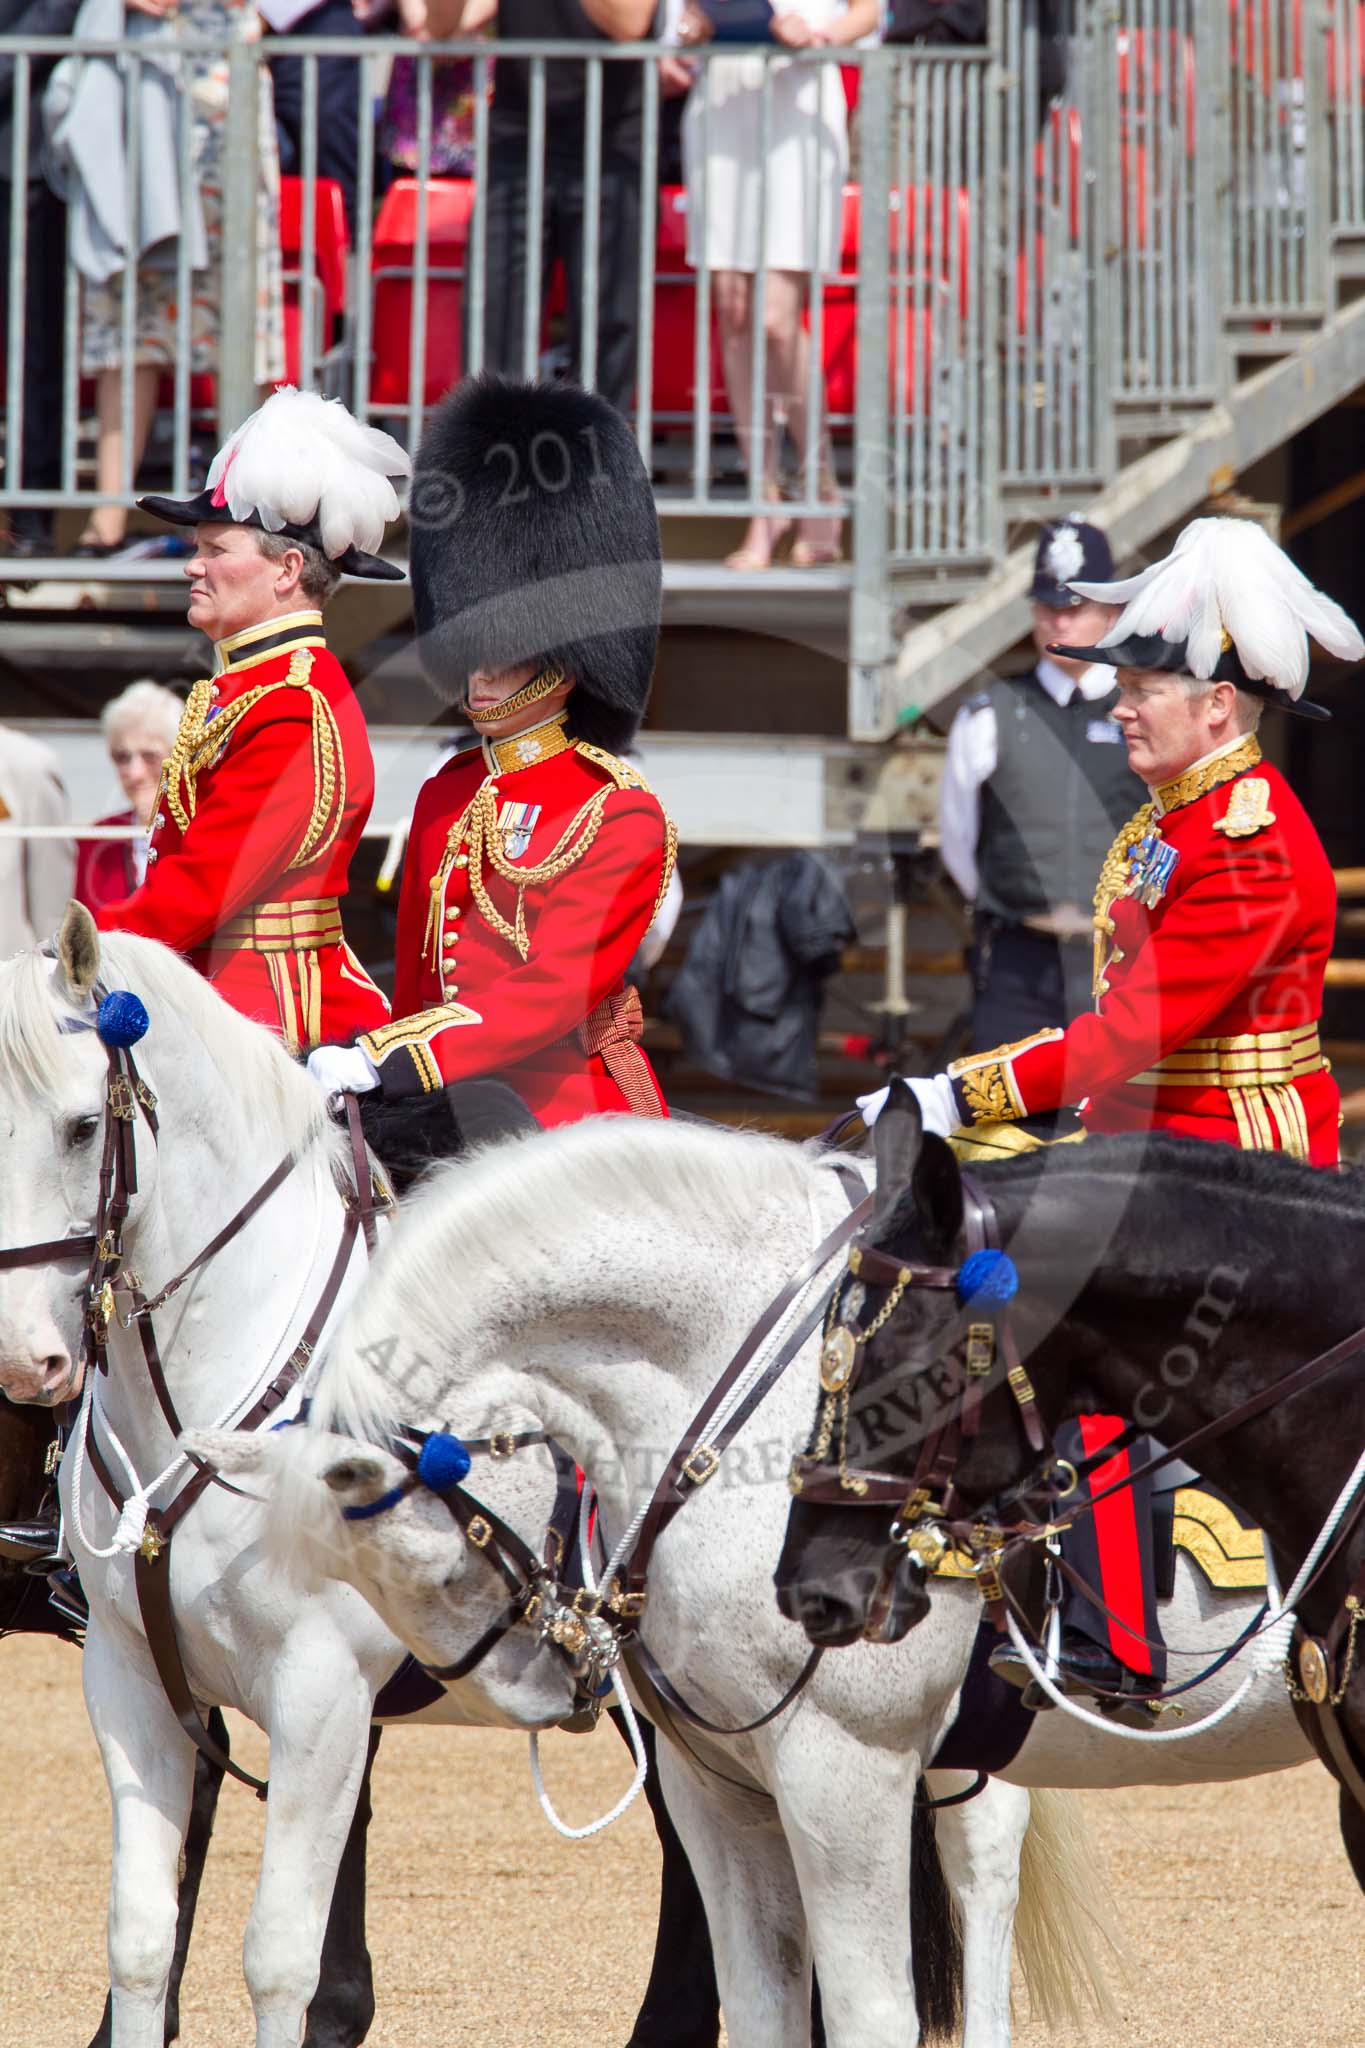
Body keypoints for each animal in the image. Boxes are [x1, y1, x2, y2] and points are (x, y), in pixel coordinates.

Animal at [0, 917, 573, 2048]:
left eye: (85, 1127)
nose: (22, 1358)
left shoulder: (322, 1691)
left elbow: (279, 1957)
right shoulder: (128, 1675)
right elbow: (142, 1937)